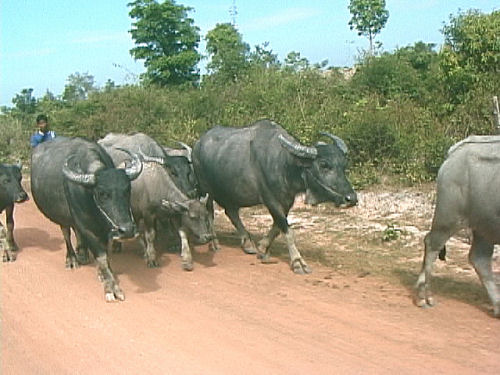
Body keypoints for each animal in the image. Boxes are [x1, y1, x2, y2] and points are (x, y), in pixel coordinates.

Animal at [30, 137, 142, 302]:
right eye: (102, 193)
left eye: (127, 190)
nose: (127, 230)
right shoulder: (87, 226)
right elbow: (101, 256)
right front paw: (111, 288)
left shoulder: (106, 229)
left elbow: (105, 255)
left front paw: (102, 274)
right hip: (62, 217)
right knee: (66, 232)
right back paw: (72, 258)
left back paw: (82, 253)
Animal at [99, 132, 213, 270]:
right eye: (193, 217)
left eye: (189, 172)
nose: (207, 237)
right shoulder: (148, 214)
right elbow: (150, 235)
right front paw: (152, 258)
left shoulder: (174, 213)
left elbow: (182, 232)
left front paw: (187, 259)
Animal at [190, 119, 356, 274]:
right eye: (323, 164)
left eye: (343, 165)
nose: (351, 199)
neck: (284, 164)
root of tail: (197, 145)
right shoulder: (270, 199)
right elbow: (287, 230)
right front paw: (298, 262)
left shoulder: (287, 201)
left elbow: (277, 227)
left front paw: (262, 248)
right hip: (206, 190)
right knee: (209, 212)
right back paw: (214, 243)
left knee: (231, 212)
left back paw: (247, 243)